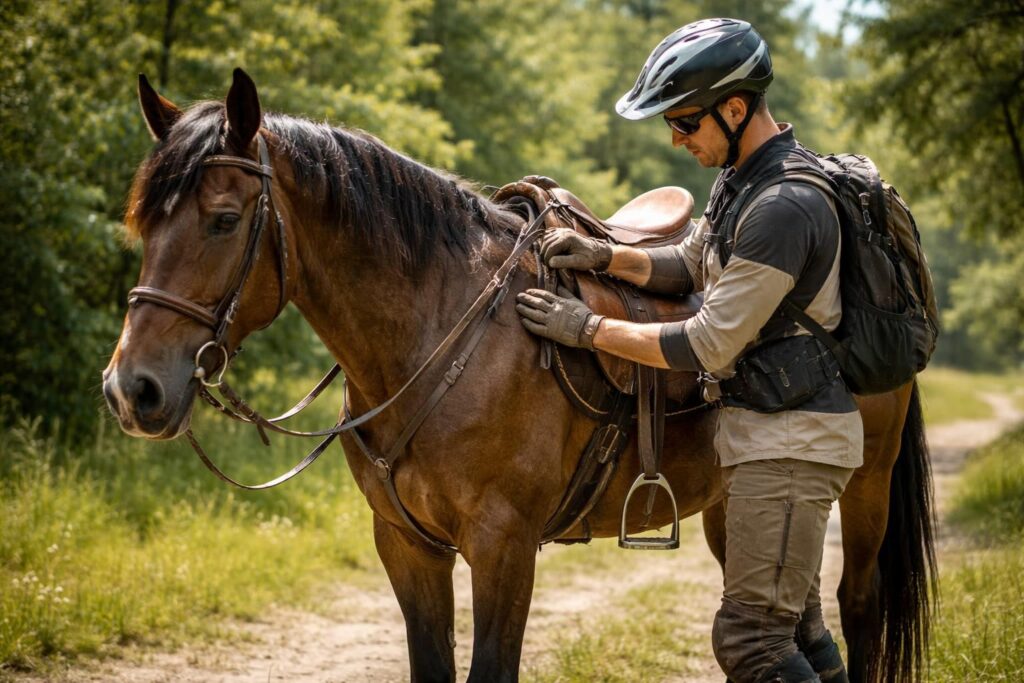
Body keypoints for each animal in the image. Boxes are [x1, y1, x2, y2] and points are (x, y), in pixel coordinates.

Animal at [102, 69, 935, 683]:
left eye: (223, 218)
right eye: (144, 221)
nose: (132, 389)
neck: (440, 334)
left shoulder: (503, 546)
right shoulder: (407, 546)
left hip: (860, 488)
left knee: (856, 609)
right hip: (736, 507)